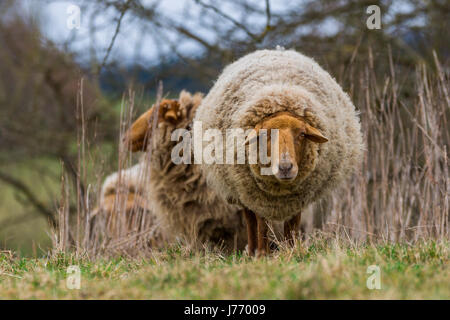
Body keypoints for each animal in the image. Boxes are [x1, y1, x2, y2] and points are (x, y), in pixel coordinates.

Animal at [194, 48, 366, 256]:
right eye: (264, 134)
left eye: (302, 134)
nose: (285, 167)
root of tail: (274, 50)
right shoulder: (258, 197)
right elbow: (261, 224)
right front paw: (263, 255)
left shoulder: (298, 198)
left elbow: (292, 226)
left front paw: (291, 251)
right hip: (242, 191)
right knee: (250, 220)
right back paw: (252, 251)